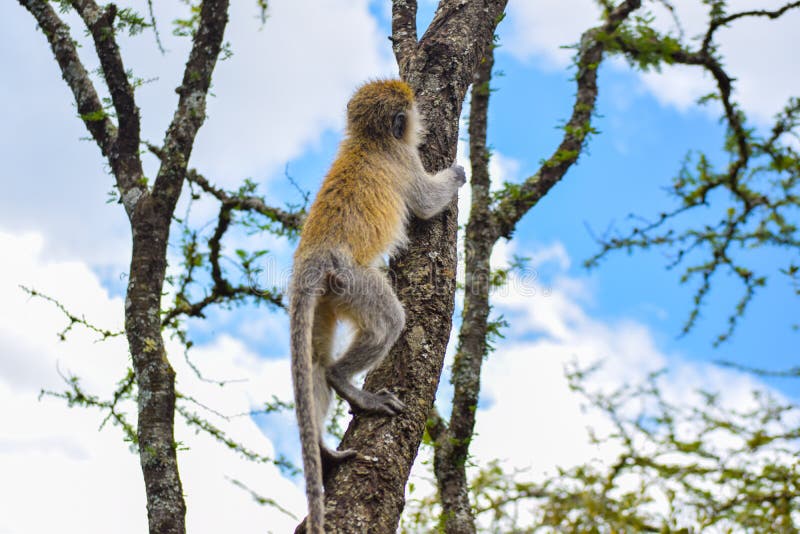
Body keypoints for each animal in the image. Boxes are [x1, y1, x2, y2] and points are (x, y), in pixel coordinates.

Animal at [288, 79, 466, 534]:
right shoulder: (405, 160)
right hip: (352, 281)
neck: (369, 139)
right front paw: (457, 174)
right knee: (387, 322)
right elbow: (426, 203)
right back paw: (345, 382)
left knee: (312, 362)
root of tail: (313, 259)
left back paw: (322, 448)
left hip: (325, 300)